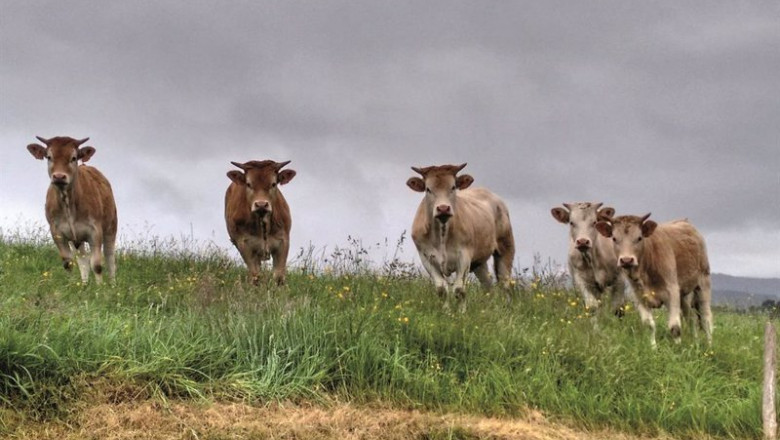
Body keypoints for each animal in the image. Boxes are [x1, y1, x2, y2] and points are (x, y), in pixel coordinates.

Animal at [26, 136, 118, 284]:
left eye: (73, 158)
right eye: (49, 157)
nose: (59, 176)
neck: (68, 205)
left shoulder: (95, 231)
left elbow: (97, 264)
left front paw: (100, 288)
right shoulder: (57, 232)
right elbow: (68, 263)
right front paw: (71, 286)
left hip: (111, 226)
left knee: (110, 257)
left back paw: (113, 284)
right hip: (77, 239)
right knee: (83, 259)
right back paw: (84, 284)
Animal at [406, 163, 515, 310]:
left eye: (453, 187)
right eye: (428, 189)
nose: (443, 208)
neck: (442, 235)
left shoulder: (464, 256)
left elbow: (459, 290)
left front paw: (462, 313)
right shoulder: (426, 257)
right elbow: (441, 289)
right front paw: (446, 311)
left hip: (506, 247)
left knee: (505, 284)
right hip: (479, 262)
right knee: (488, 286)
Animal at [595, 214, 713, 347]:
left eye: (639, 238)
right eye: (614, 238)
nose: (626, 260)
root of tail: (685, 222)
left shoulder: (672, 292)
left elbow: (675, 327)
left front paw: (678, 348)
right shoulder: (639, 297)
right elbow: (649, 325)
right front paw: (653, 348)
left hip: (703, 282)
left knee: (706, 318)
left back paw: (709, 346)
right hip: (683, 293)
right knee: (692, 318)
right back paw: (695, 345)